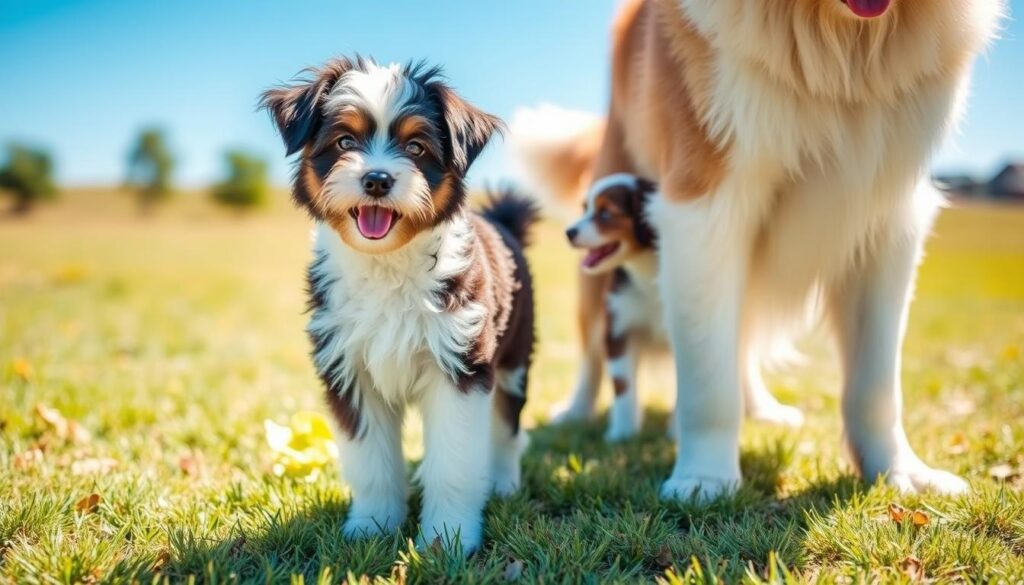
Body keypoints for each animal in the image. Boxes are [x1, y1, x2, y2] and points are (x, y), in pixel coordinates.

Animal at [260, 56, 540, 553]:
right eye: (345, 141)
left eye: (415, 147)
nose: (376, 179)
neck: (386, 264)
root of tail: (501, 220)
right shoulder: (348, 370)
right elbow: (371, 461)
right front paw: (372, 527)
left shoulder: (461, 366)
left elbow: (453, 462)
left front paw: (446, 539)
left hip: (514, 356)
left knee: (508, 425)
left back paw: (503, 482)